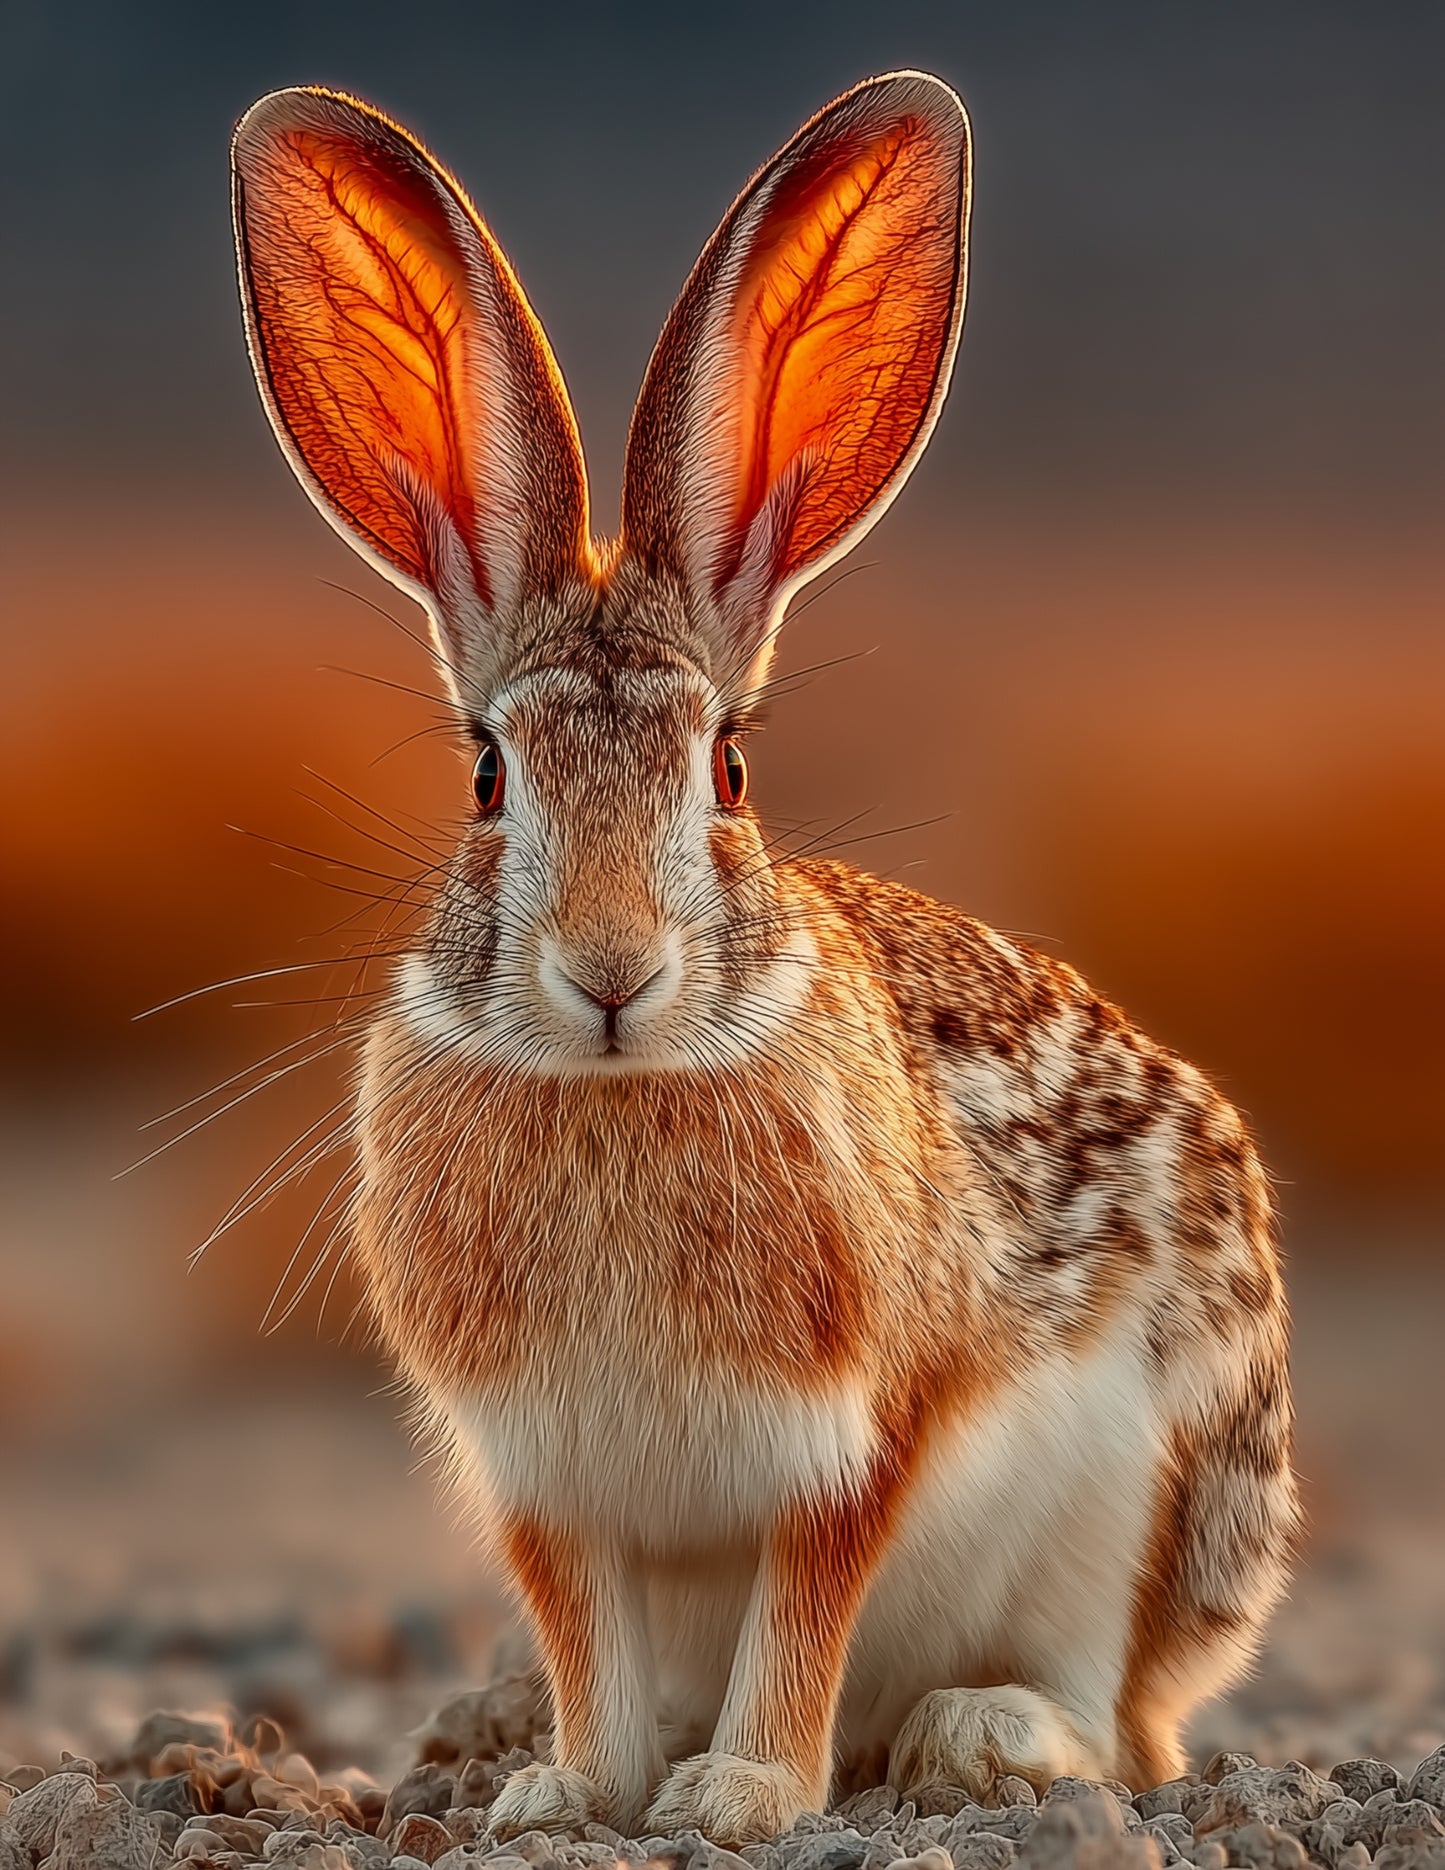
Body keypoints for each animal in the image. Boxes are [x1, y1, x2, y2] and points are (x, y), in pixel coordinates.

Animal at [231, 70, 1300, 1846]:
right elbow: (580, 1627)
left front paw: (740, 1794)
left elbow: (806, 1606)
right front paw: (565, 1790)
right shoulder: (542, 1474)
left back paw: (981, 1737)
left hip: (1135, 1491)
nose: (610, 972)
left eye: (727, 768)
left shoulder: (856, 1431)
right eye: (486, 776)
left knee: (1116, 1719)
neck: (619, 1093)